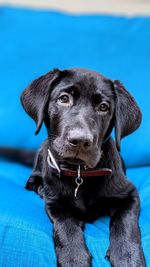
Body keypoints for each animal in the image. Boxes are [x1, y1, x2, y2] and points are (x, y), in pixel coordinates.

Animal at [20, 69, 145, 267]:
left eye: (103, 107)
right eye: (64, 99)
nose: (80, 140)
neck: (80, 172)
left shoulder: (130, 194)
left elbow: (126, 224)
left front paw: (128, 257)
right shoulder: (55, 204)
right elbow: (66, 227)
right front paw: (74, 258)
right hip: (43, 151)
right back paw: (39, 186)